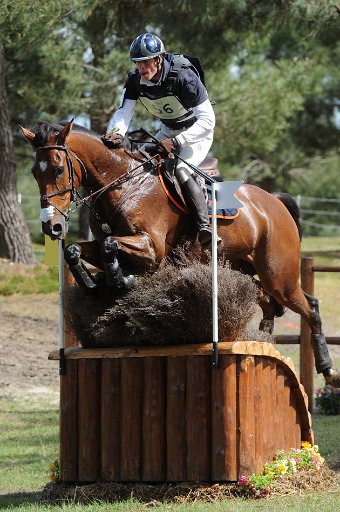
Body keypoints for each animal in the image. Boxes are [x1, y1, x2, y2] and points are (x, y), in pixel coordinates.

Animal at [20, 120, 338, 384]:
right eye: (34, 172)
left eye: (59, 169)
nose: (52, 226)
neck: (123, 182)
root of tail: (275, 202)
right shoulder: (108, 245)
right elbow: (75, 250)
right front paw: (92, 282)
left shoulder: (152, 248)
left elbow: (112, 246)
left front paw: (121, 280)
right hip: (244, 269)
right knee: (272, 303)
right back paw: (264, 341)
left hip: (278, 276)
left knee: (310, 308)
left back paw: (328, 369)